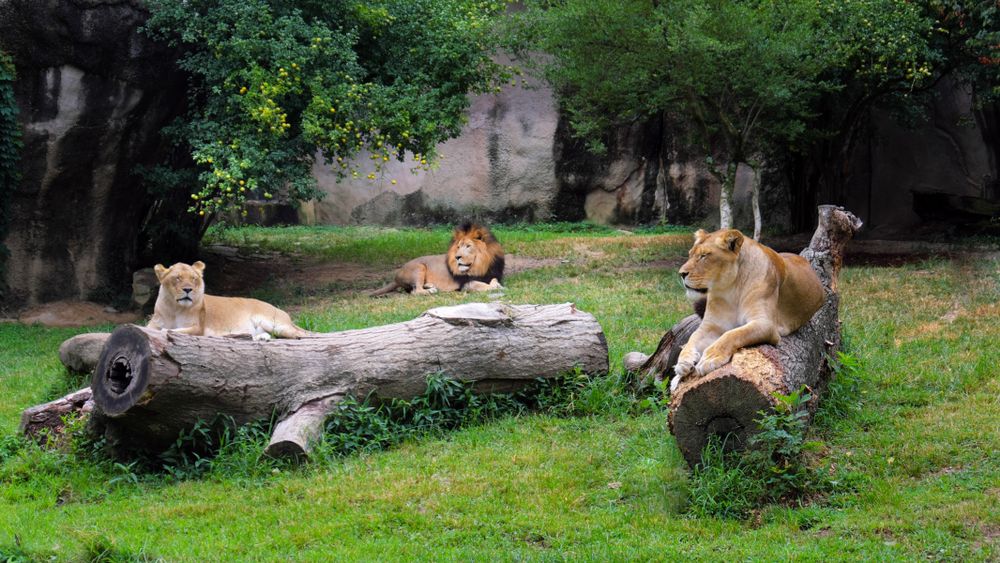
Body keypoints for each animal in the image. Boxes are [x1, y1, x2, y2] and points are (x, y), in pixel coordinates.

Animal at [148, 261, 308, 341]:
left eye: (193, 279)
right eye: (177, 278)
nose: (188, 289)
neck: (174, 309)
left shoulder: (197, 328)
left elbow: (170, 330)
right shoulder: (153, 323)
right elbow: (154, 329)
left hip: (274, 323)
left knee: (303, 333)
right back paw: (260, 337)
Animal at [370, 221, 505, 296]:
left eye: (468, 246)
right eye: (458, 247)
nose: (457, 257)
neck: (481, 264)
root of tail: (396, 275)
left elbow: (493, 280)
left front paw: (496, 284)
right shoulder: (465, 284)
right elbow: (483, 286)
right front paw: (497, 287)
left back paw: (431, 286)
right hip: (419, 267)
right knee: (415, 291)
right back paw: (430, 291)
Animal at [670, 228, 825, 393]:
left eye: (704, 256)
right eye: (690, 254)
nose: (681, 274)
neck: (731, 289)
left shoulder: (765, 324)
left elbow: (732, 334)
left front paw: (710, 357)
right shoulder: (711, 326)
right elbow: (693, 337)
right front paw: (683, 362)